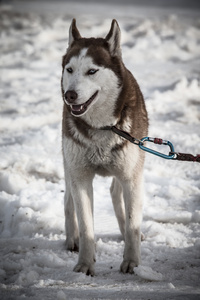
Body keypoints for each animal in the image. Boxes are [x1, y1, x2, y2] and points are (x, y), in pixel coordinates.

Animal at [61, 19, 148, 276]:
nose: (70, 95)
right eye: (70, 69)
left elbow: (132, 220)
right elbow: (86, 225)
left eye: (92, 71)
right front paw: (84, 264)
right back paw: (72, 238)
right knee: (68, 199)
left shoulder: (132, 176)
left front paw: (132, 262)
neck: (102, 127)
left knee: (116, 193)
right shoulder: (80, 176)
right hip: (69, 163)